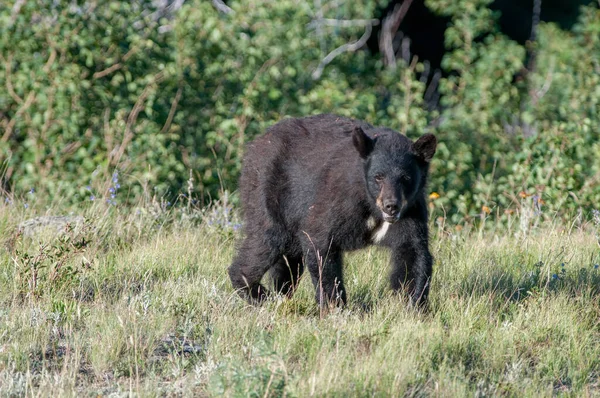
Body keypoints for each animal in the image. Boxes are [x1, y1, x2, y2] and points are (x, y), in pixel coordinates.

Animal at [229, 114, 436, 308]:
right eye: (378, 177)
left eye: (406, 177)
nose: (391, 205)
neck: (370, 205)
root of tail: (257, 141)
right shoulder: (336, 200)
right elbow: (320, 242)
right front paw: (333, 305)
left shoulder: (412, 211)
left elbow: (412, 252)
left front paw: (412, 305)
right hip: (269, 189)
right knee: (267, 240)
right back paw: (256, 292)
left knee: (288, 262)